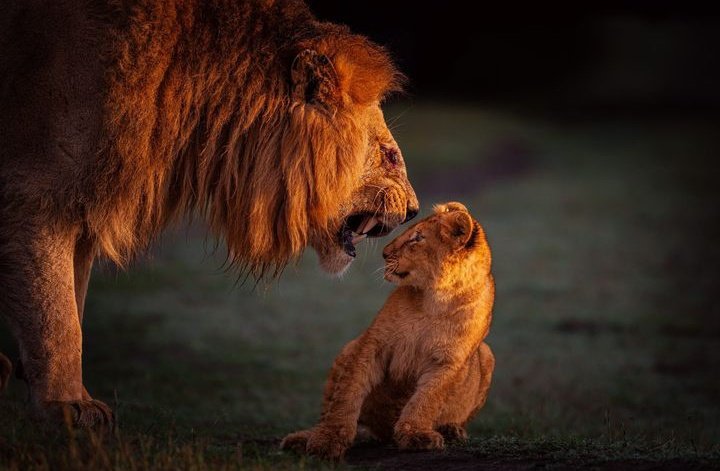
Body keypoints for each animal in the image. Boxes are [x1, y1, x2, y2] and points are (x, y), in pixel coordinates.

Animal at [0, 0, 420, 428]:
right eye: (390, 155)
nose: (413, 211)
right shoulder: (37, 193)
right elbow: (59, 319)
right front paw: (65, 405)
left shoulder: (82, 205)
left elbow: (73, 301)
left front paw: (62, 394)